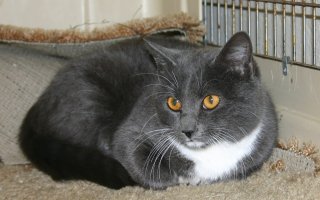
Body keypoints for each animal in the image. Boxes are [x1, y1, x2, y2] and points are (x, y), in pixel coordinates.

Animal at [19, 31, 278, 189]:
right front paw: (175, 177)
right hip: (88, 97)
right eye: (173, 103)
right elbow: (130, 152)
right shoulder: (135, 125)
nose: (187, 129)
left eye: (211, 100)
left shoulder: (264, 139)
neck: (207, 154)